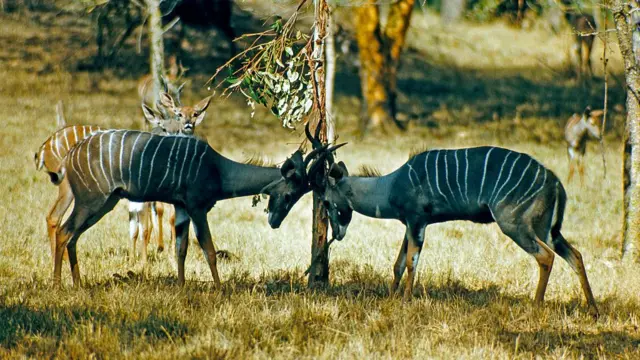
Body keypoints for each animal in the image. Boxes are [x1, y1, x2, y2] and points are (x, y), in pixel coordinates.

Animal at [50, 125, 336, 288]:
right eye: (289, 194)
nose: (274, 222)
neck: (218, 169)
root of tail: (69, 157)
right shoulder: (198, 208)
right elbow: (208, 249)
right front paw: (220, 290)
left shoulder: (182, 208)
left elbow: (181, 249)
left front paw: (182, 287)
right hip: (91, 200)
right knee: (64, 231)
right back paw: (57, 286)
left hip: (104, 203)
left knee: (73, 236)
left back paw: (79, 284)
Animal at [306, 143, 600, 318]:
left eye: (327, 200)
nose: (338, 234)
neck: (391, 184)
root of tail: (554, 180)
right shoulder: (410, 224)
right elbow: (398, 264)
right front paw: (390, 297)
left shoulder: (417, 222)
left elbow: (411, 262)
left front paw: (405, 300)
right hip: (548, 229)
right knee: (575, 255)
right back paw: (594, 309)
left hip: (515, 226)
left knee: (546, 257)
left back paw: (535, 307)